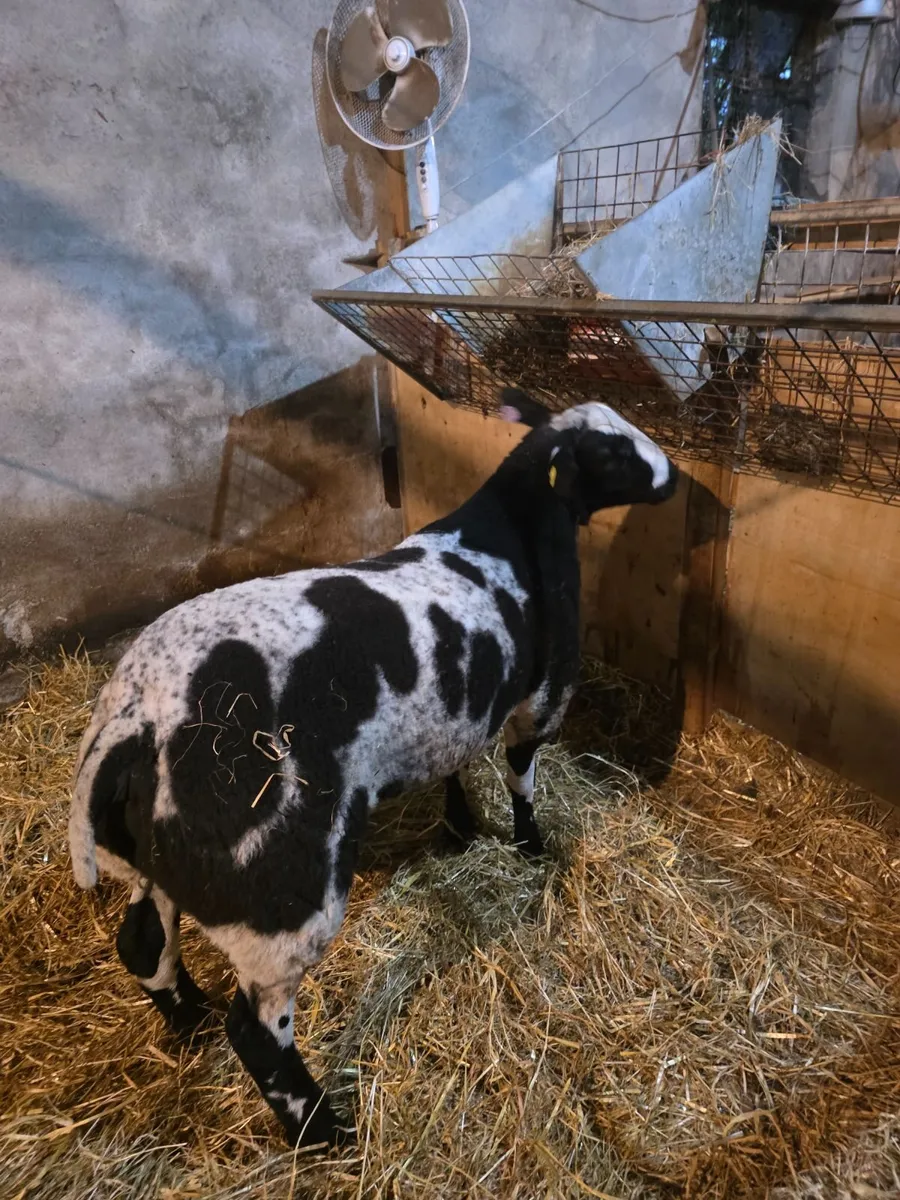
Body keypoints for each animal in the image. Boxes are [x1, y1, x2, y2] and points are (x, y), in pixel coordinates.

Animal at [68, 390, 679, 1149]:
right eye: (612, 453)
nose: (674, 477)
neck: (510, 525)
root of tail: (128, 724)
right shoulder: (541, 697)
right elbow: (522, 779)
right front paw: (530, 846)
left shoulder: (453, 710)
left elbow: (454, 768)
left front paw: (460, 828)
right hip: (276, 898)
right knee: (258, 1032)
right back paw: (321, 1131)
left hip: (165, 865)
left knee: (142, 943)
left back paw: (189, 1024)